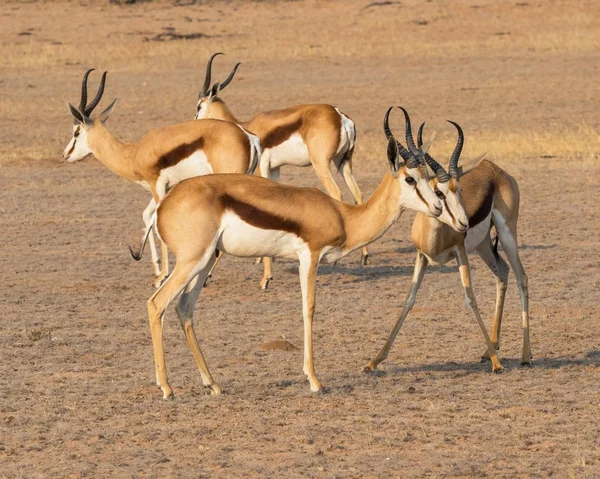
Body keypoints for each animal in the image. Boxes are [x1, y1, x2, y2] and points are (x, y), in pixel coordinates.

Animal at [62, 69, 262, 286]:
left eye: (76, 132)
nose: (66, 154)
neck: (134, 152)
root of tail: (248, 136)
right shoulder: (166, 187)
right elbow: (146, 216)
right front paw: (157, 269)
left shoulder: (156, 183)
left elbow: (155, 219)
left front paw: (162, 276)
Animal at [129, 110, 464, 400]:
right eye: (410, 179)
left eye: (429, 178)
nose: (438, 208)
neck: (344, 217)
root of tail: (164, 205)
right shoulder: (310, 256)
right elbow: (308, 309)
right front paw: (314, 380)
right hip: (192, 261)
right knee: (156, 303)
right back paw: (166, 388)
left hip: (206, 260)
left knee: (184, 307)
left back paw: (212, 384)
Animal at [195, 54, 368, 290]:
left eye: (198, 106)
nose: (194, 123)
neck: (246, 126)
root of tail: (340, 116)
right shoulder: (275, 169)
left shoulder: (263, 167)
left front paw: (265, 275)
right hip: (344, 163)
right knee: (358, 194)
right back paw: (364, 257)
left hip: (321, 164)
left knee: (337, 193)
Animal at [364, 109, 532, 376]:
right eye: (439, 192)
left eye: (459, 188)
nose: (463, 223)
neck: (436, 236)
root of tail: (495, 169)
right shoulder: (421, 256)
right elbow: (409, 300)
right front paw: (374, 361)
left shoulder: (460, 252)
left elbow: (470, 297)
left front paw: (497, 364)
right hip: (483, 245)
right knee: (503, 272)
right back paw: (490, 349)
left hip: (507, 234)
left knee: (521, 277)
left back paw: (524, 356)